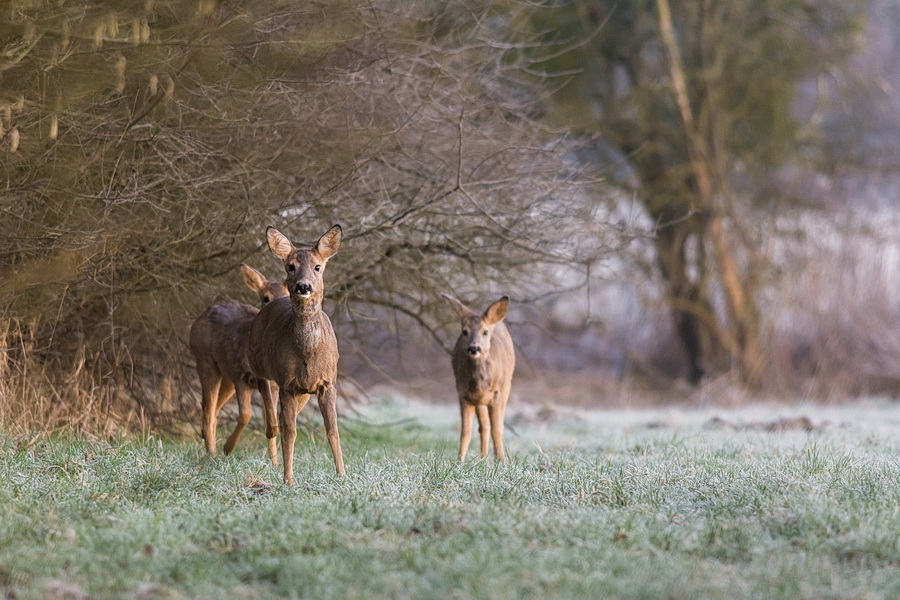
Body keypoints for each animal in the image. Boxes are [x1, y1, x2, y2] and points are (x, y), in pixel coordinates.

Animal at [188, 262, 286, 460]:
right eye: (266, 298)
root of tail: (199, 318)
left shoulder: (273, 384)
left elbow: (272, 422)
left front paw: (274, 462)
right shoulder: (242, 375)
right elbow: (246, 415)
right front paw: (228, 447)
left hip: (227, 376)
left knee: (212, 410)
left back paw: (207, 443)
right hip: (206, 362)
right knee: (209, 410)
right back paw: (212, 454)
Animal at [248, 223, 346, 486]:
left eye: (318, 266)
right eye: (290, 266)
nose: (303, 286)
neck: (308, 353)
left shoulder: (327, 383)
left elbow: (332, 430)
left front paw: (342, 474)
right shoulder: (288, 384)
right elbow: (290, 432)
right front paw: (288, 480)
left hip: (303, 391)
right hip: (260, 366)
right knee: (272, 415)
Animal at [442, 292, 512, 462]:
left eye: (485, 332)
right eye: (464, 331)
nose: (474, 348)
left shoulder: (497, 393)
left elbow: (497, 429)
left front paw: (501, 460)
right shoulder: (464, 395)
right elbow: (465, 432)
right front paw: (460, 460)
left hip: (507, 387)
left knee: (496, 424)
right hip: (479, 401)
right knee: (484, 426)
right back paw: (483, 458)